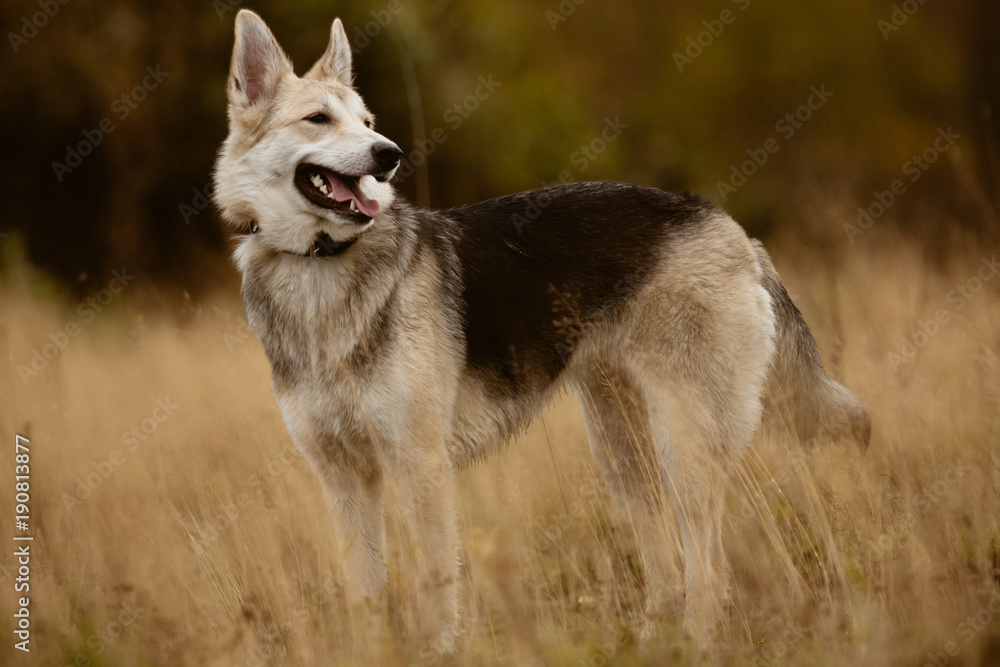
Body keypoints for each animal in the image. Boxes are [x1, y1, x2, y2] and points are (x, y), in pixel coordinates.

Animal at [215, 9, 872, 648]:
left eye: (368, 121)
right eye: (318, 120)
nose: (390, 154)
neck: (318, 270)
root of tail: (732, 228)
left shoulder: (421, 467)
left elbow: (436, 589)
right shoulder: (344, 479)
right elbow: (367, 597)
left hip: (683, 445)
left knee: (709, 570)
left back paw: (699, 642)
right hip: (622, 453)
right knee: (666, 569)